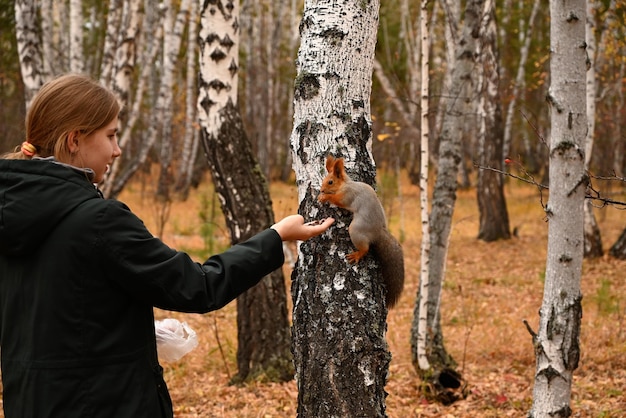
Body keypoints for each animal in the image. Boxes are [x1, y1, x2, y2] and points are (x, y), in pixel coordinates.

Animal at [316, 155, 404, 308]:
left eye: (330, 182)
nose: (321, 190)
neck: (346, 184)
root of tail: (378, 232)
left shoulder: (347, 196)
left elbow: (338, 200)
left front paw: (324, 197)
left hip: (356, 230)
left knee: (365, 248)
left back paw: (357, 255)